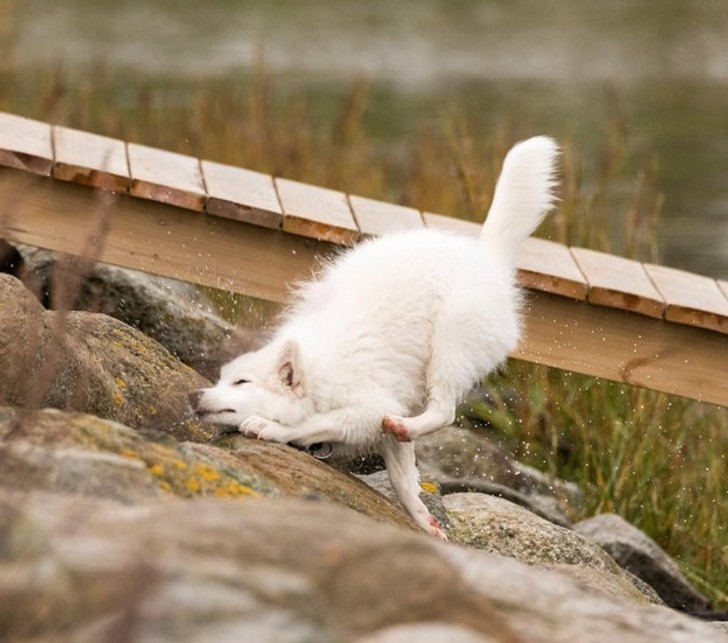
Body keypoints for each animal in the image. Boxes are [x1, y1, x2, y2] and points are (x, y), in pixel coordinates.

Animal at [192, 136, 556, 540]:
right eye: (221, 378)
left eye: (242, 382)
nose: (195, 396)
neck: (319, 367)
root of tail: (487, 258)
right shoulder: (387, 411)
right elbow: (401, 477)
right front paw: (423, 518)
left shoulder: (369, 406)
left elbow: (316, 423)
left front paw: (272, 428)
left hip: (451, 342)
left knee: (443, 411)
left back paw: (407, 425)